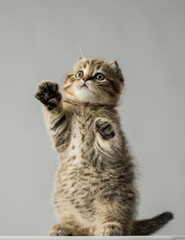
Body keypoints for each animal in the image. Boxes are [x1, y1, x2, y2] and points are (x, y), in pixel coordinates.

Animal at [35, 58, 173, 236]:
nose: (85, 79)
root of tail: (92, 227)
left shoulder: (114, 144)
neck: (87, 106)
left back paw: (111, 227)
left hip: (117, 198)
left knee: (115, 220)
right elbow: (56, 120)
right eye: (79, 74)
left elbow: (109, 142)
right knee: (80, 228)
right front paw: (50, 97)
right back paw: (66, 227)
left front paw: (105, 130)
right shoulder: (61, 140)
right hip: (64, 203)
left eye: (99, 76)